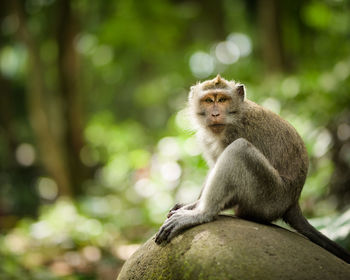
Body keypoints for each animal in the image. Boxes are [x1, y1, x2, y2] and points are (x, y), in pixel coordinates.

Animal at [155, 74, 350, 262]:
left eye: (223, 99)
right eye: (209, 100)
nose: (215, 114)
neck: (235, 115)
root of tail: (293, 201)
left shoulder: (235, 133)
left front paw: (195, 210)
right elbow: (214, 166)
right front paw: (191, 204)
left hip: (269, 197)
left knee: (240, 149)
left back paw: (203, 214)